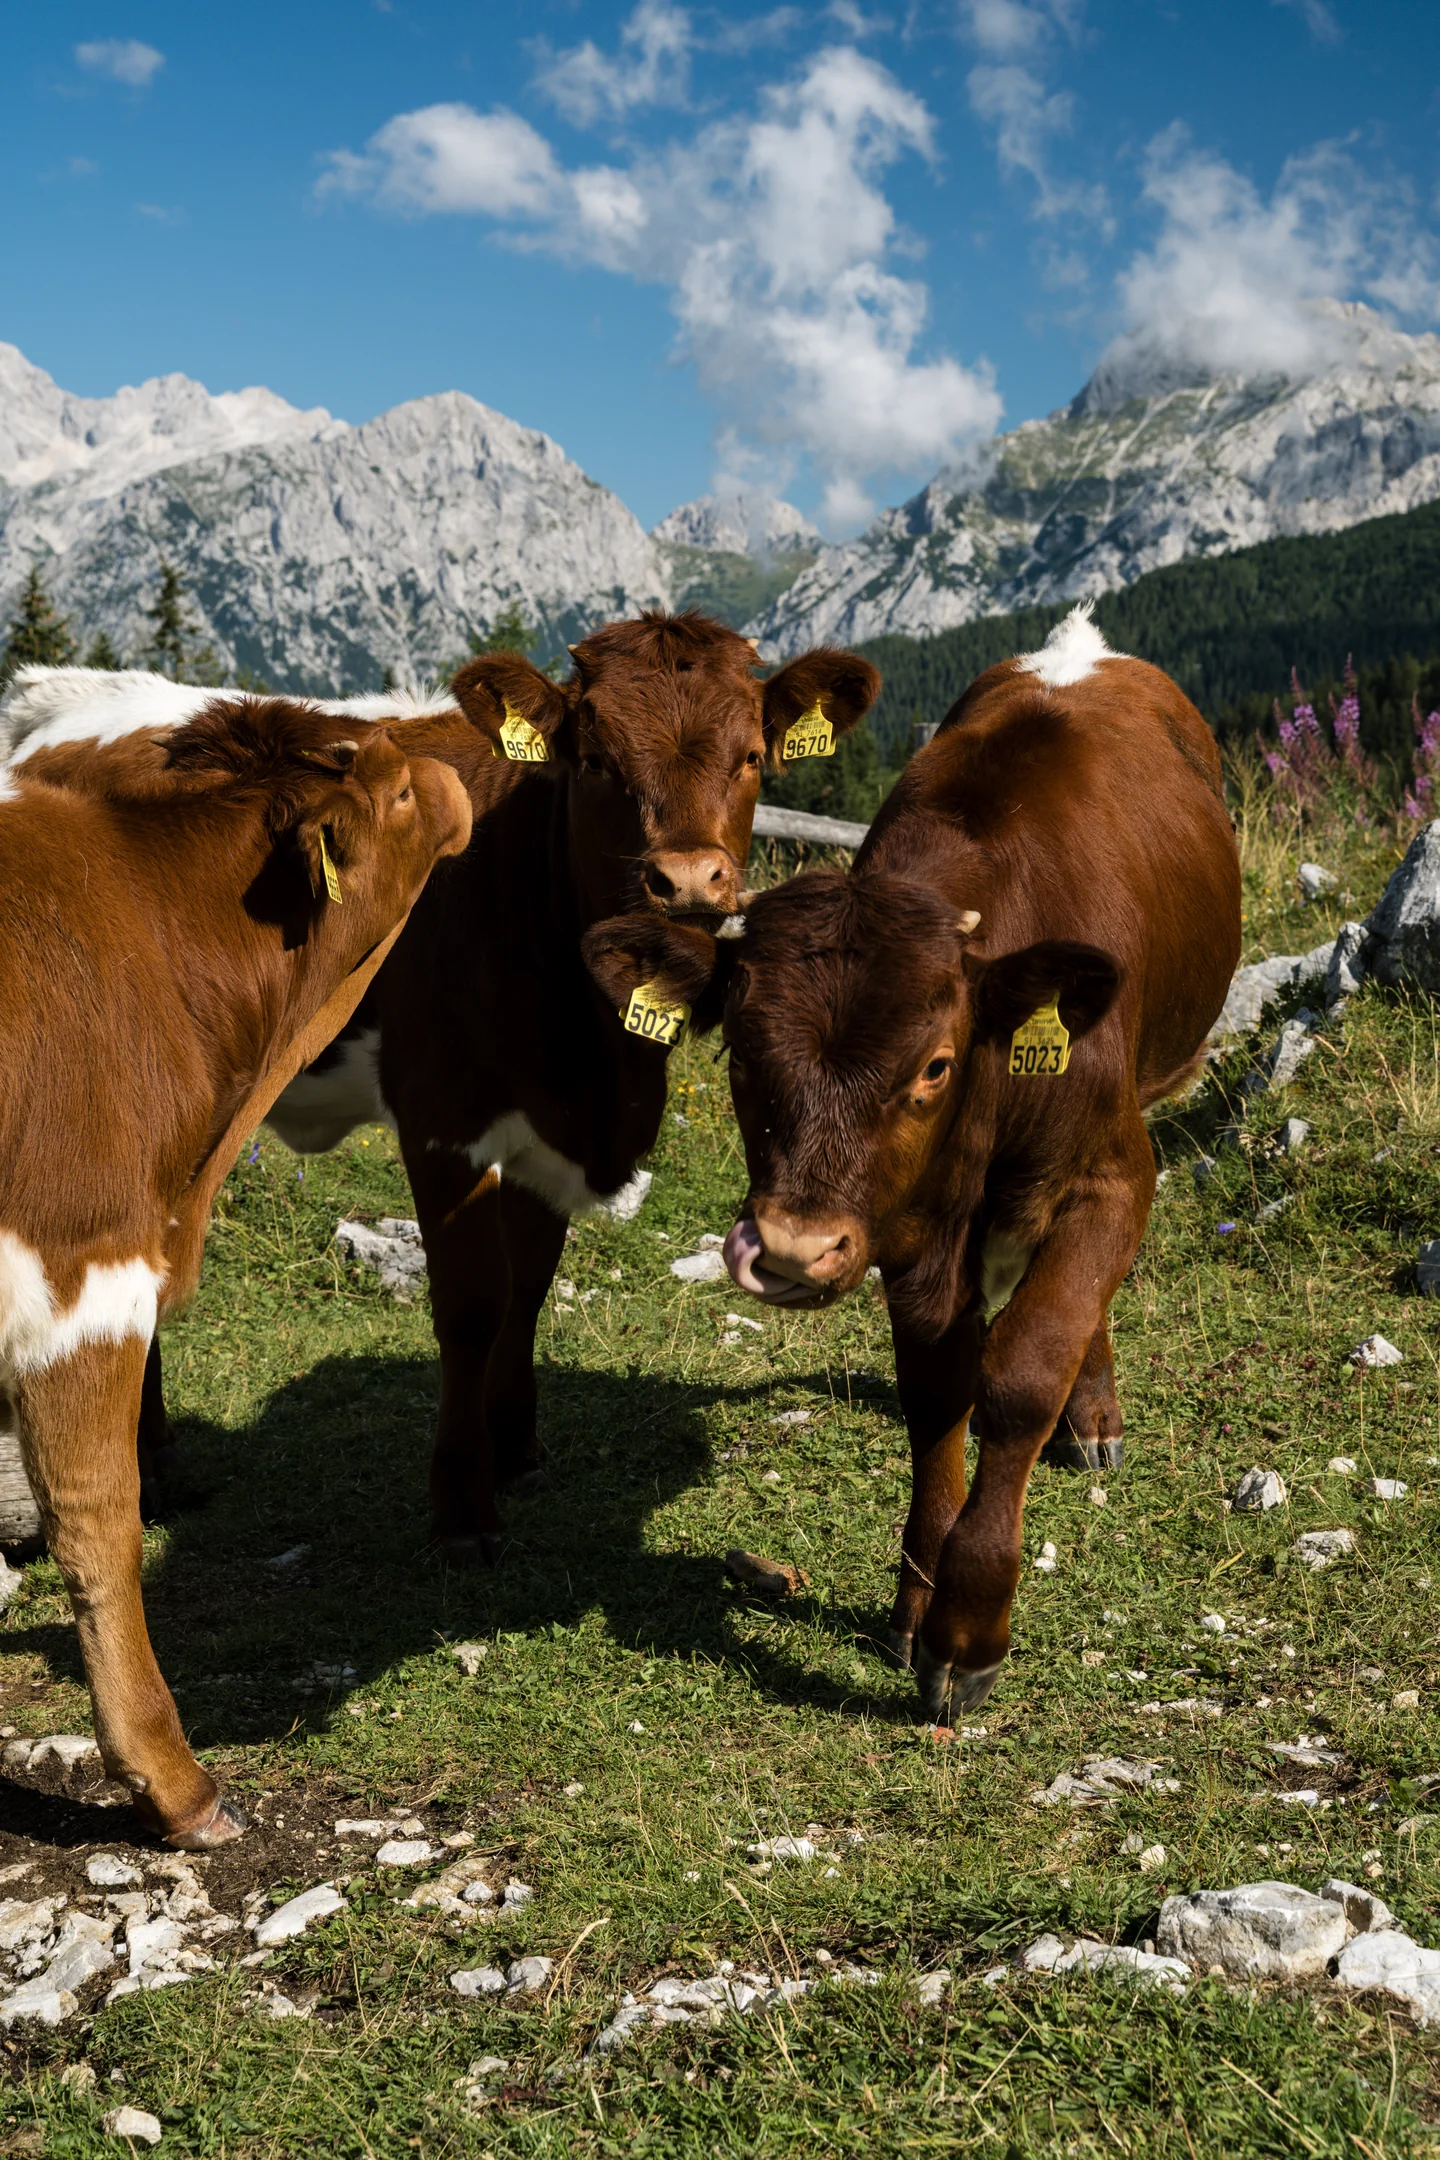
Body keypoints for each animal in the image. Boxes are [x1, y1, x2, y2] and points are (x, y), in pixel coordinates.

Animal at [582, 606, 1242, 1726]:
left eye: (934, 1063)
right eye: (741, 1051)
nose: (792, 1250)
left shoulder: (1116, 1170)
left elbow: (1024, 1370)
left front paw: (971, 1625)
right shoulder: (912, 1231)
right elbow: (940, 1389)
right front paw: (916, 1602)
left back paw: (1092, 1414)